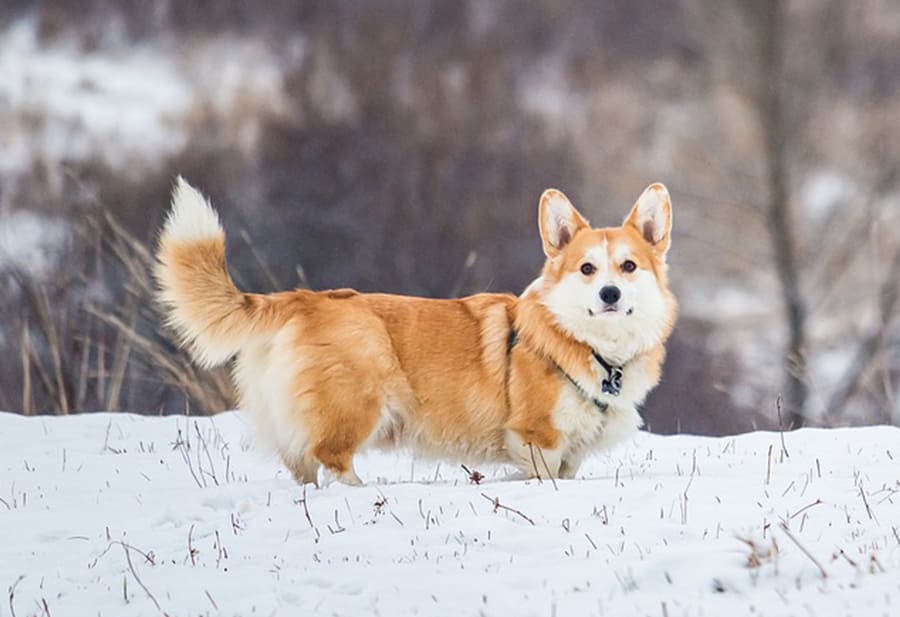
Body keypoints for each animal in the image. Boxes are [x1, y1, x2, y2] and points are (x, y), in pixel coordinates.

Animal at [156, 179, 676, 486]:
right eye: (586, 269)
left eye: (628, 266)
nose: (609, 293)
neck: (592, 347)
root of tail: (303, 298)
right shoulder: (537, 438)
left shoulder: (571, 455)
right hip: (356, 404)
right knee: (332, 458)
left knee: (303, 467)